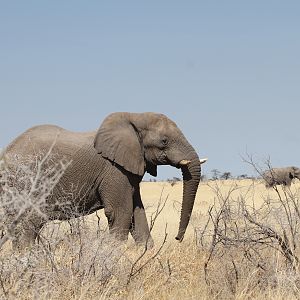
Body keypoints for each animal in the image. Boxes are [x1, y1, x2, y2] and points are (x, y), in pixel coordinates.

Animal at [0, 111, 206, 250]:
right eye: (164, 141)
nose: (177, 239)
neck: (133, 117)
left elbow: (137, 212)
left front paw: (147, 252)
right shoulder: (114, 170)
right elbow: (120, 212)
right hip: (24, 182)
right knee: (29, 222)